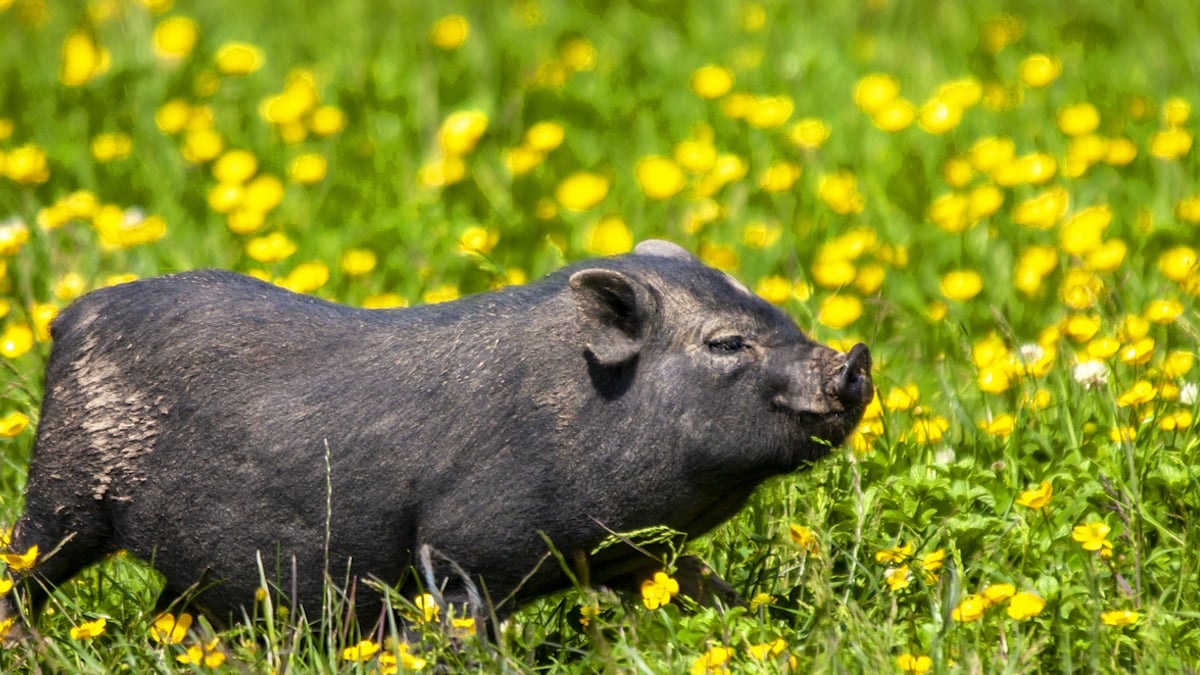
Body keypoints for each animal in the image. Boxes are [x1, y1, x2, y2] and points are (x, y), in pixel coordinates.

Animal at [4, 240, 878, 629]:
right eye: (726, 343)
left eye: (774, 309)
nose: (854, 360)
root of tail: (70, 315)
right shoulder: (460, 550)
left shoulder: (636, 553)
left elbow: (702, 587)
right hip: (63, 496)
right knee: (23, 570)